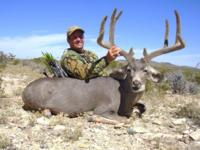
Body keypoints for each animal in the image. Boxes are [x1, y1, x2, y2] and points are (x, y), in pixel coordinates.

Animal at [21, 9, 184, 124]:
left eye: (145, 70)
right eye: (129, 70)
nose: (136, 84)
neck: (124, 98)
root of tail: (24, 91)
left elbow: (142, 108)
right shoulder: (104, 108)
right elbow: (124, 119)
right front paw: (91, 116)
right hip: (36, 103)